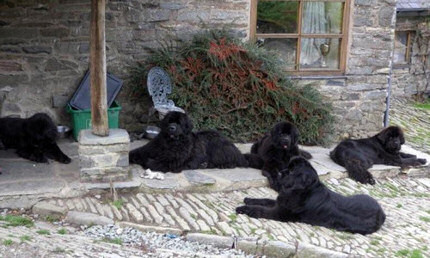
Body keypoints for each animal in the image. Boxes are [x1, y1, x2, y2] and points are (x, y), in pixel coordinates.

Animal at [237, 156, 384, 235]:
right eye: (287, 168)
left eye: (291, 172)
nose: (280, 172)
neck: (301, 192)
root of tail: (382, 214)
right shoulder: (281, 202)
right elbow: (265, 200)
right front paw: (249, 199)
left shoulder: (281, 213)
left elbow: (261, 209)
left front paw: (243, 208)